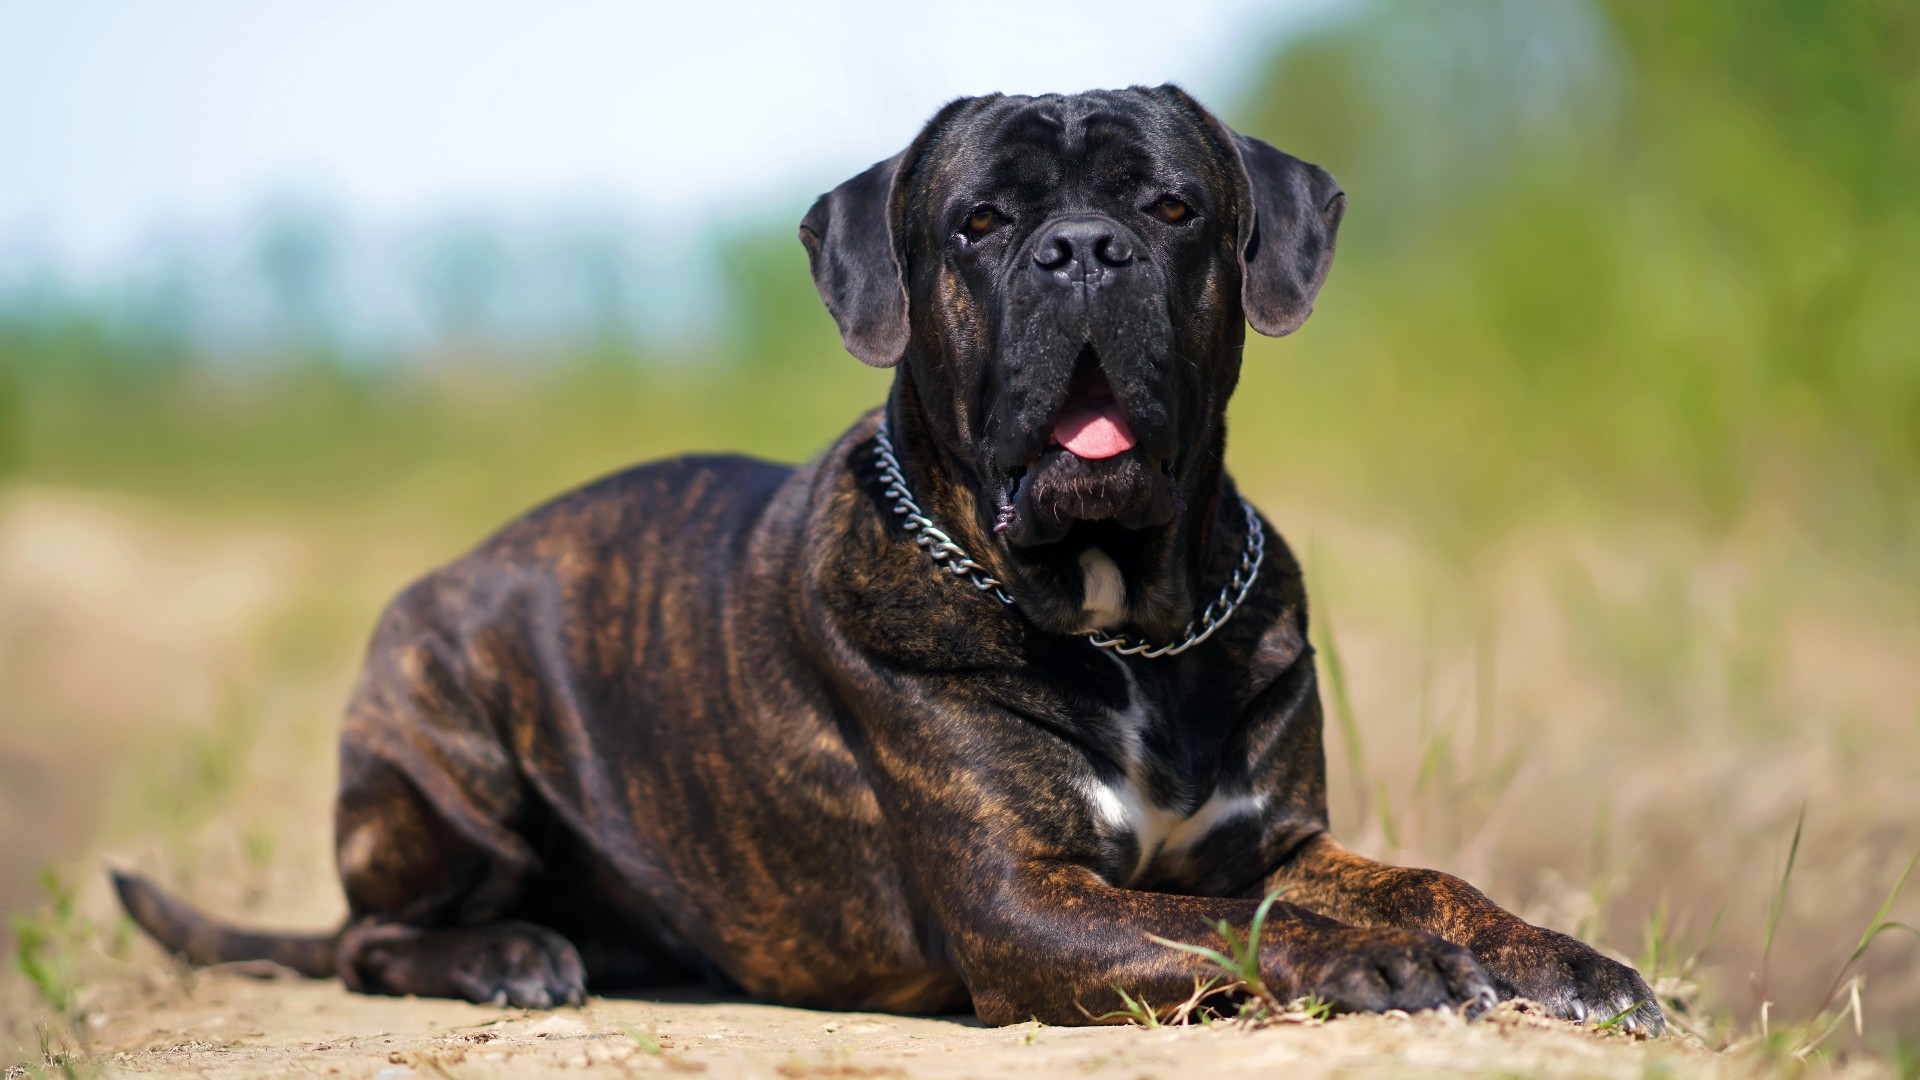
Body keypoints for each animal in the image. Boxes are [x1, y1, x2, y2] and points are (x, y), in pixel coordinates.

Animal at [116, 82, 1666, 1022]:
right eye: (980, 222)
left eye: (1172, 207)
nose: (1081, 249)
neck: (1125, 624)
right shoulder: (1022, 906)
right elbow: (1246, 931)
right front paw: (1387, 961)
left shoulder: (1280, 839)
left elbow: (1428, 880)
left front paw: (1566, 958)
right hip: (448, 741)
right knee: (367, 942)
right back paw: (509, 953)